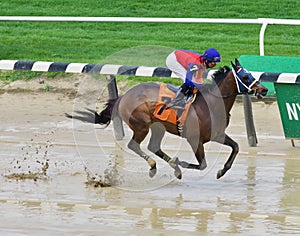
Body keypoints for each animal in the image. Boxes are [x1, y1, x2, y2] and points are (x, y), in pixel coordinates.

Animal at [67, 59, 268, 179]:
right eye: (245, 76)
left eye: (251, 74)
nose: (264, 90)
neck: (211, 103)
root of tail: (123, 97)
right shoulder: (195, 139)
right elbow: (202, 165)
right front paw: (181, 162)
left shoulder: (216, 134)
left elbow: (236, 147)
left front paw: (222, 170)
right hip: (141, 125)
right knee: (134, 145)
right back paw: (155, 166)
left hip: (157, 127)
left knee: (153, 147)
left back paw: (173, 168)